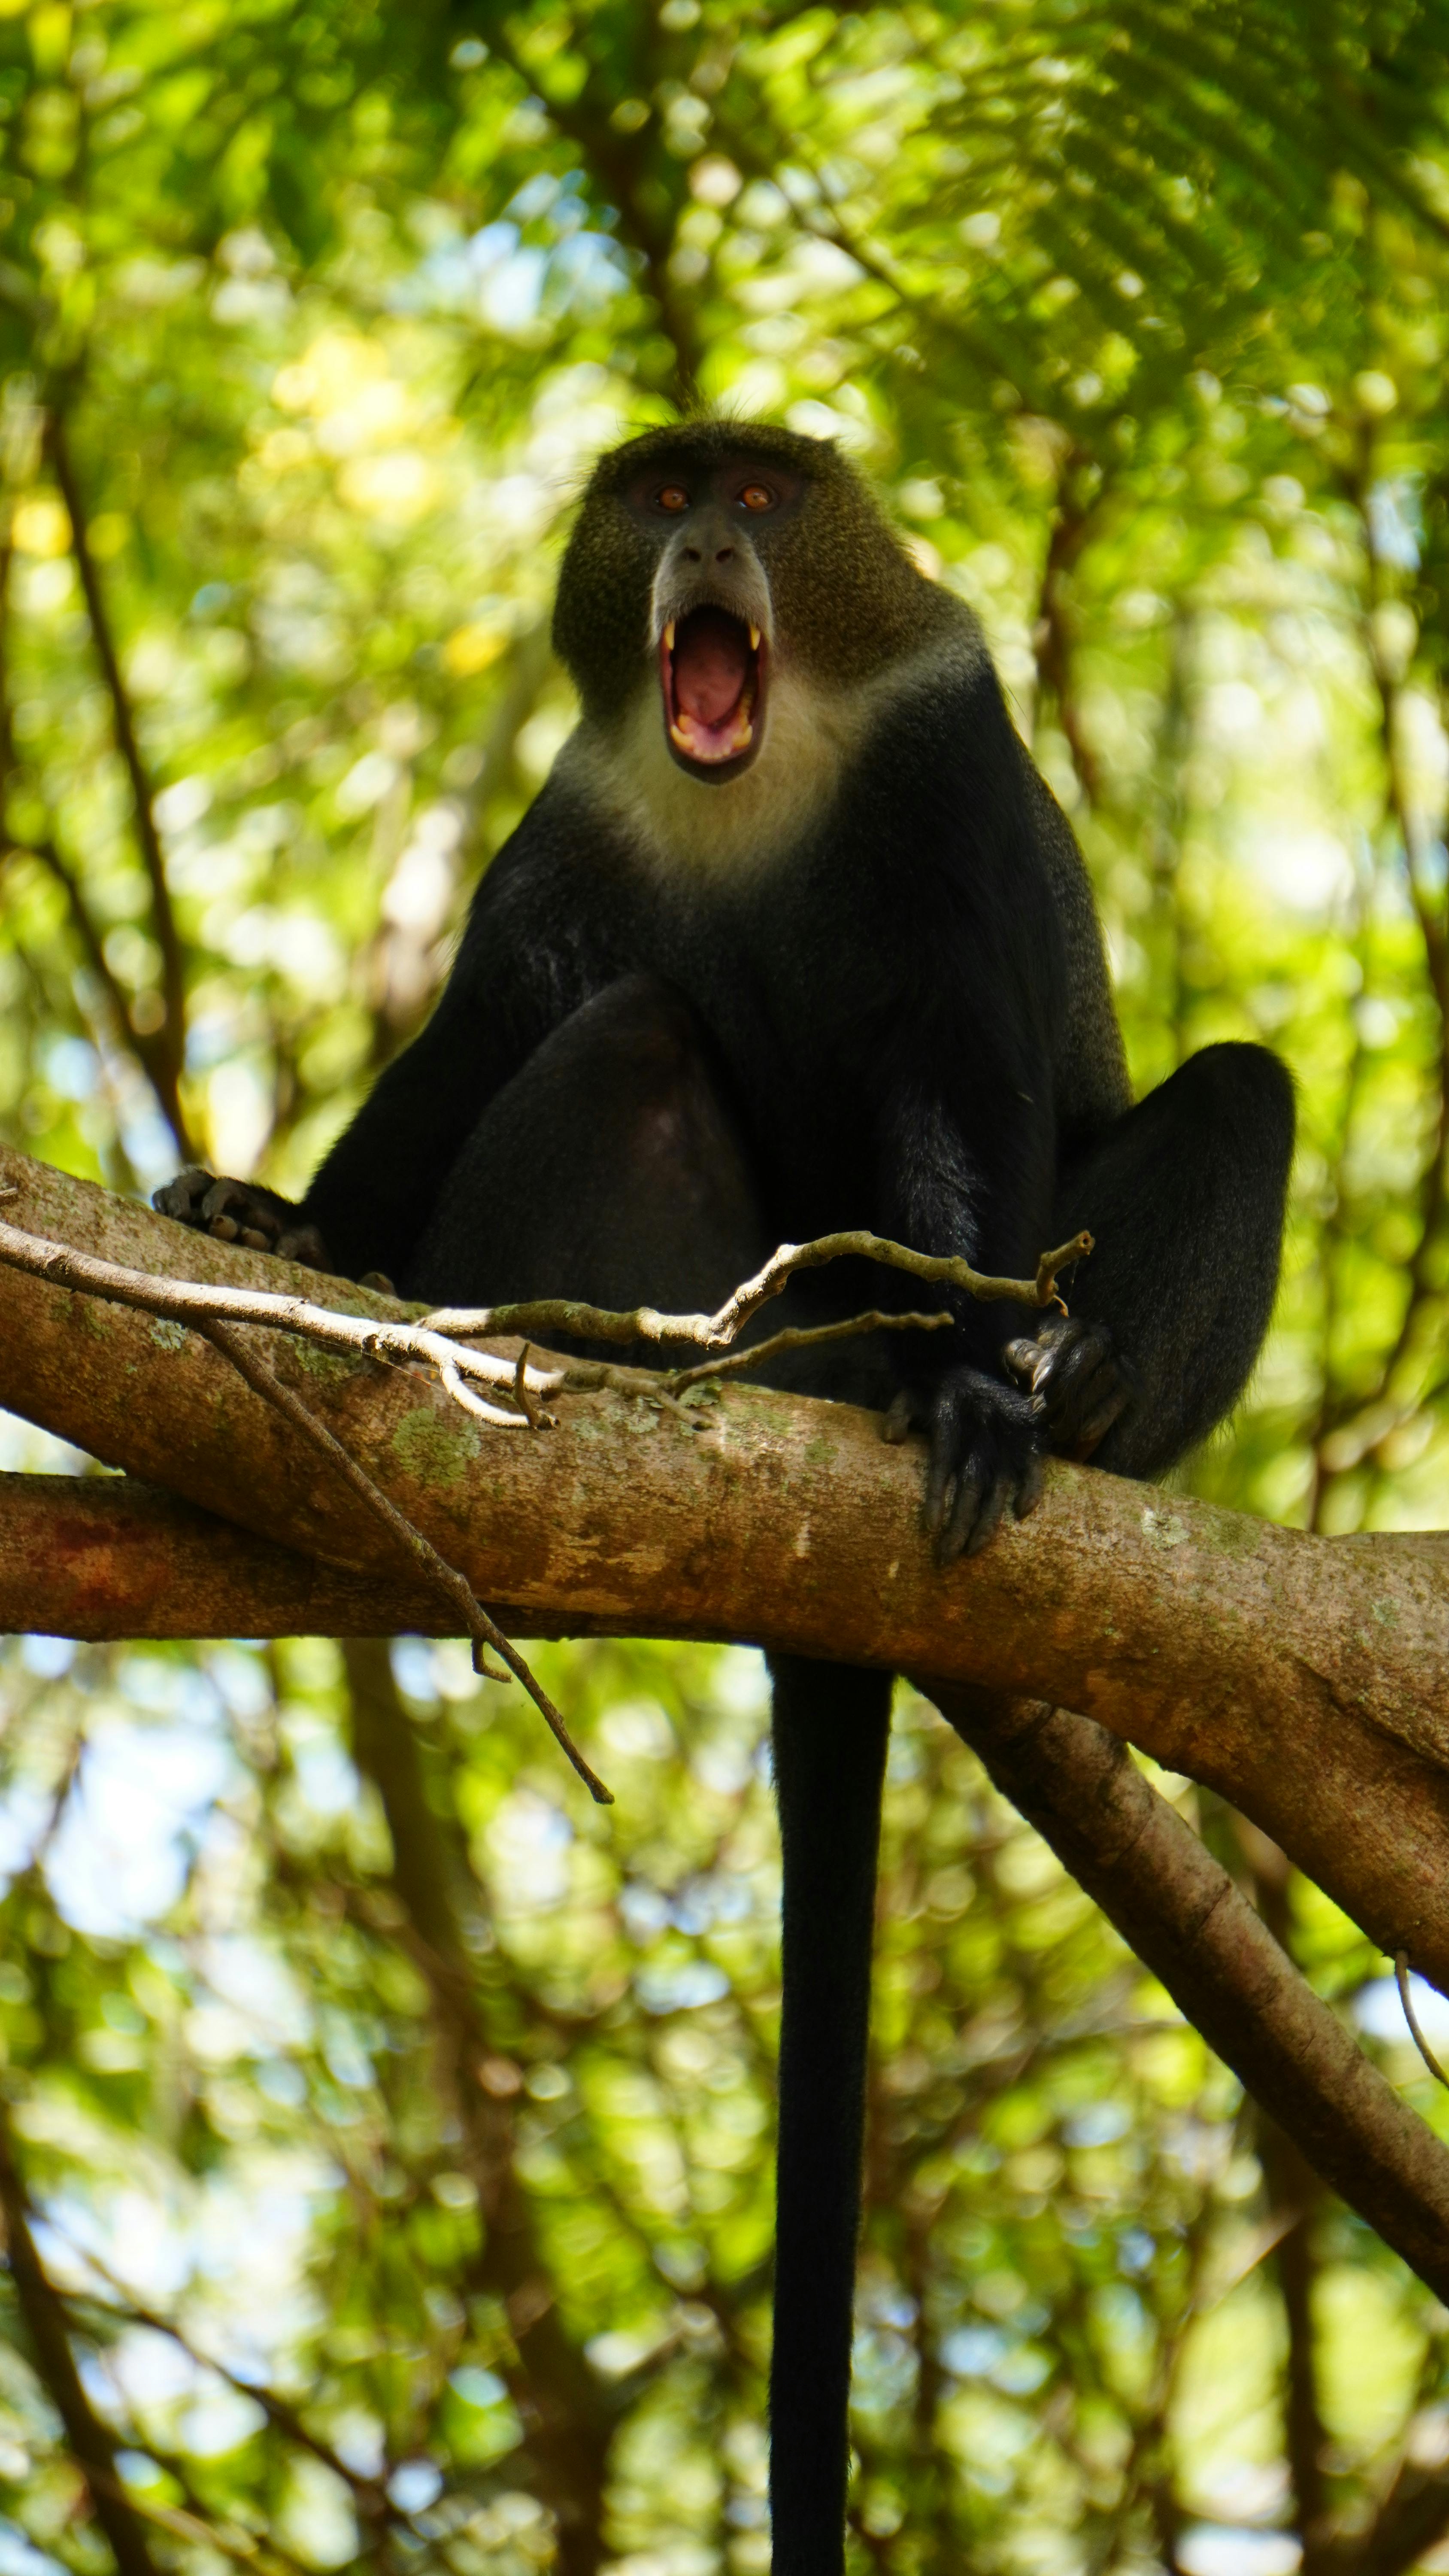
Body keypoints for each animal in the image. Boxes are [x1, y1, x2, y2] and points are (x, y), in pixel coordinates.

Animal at [156, 421, 1294, 2574]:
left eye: (764, 497)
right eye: (658, 491)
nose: (702, 547)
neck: (756, 785)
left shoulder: (939, 784)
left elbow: (959, 1083)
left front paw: (985, 1385)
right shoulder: (578, 829)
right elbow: (490, 1033)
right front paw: (284, 1225)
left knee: (1245, 1093)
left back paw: (1061, 1395)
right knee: (628, 1037)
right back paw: (555, 1350)